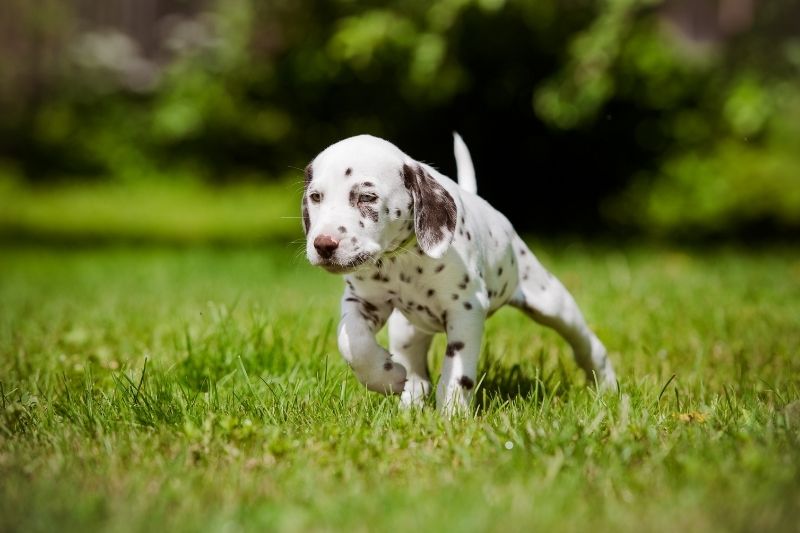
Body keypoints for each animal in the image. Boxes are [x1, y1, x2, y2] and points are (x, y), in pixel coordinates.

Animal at [302, 134, 620, 416]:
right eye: (315, 197)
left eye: (367, 197)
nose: (324, 244)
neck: (401, 263)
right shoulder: (363, 302)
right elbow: (354, 344)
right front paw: (387, 377)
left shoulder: (465, 311)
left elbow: (456, 374)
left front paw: (453, 414)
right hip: (406, 331)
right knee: (417, 373)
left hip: (550, 302)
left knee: (584, 341)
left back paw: (606, 382)